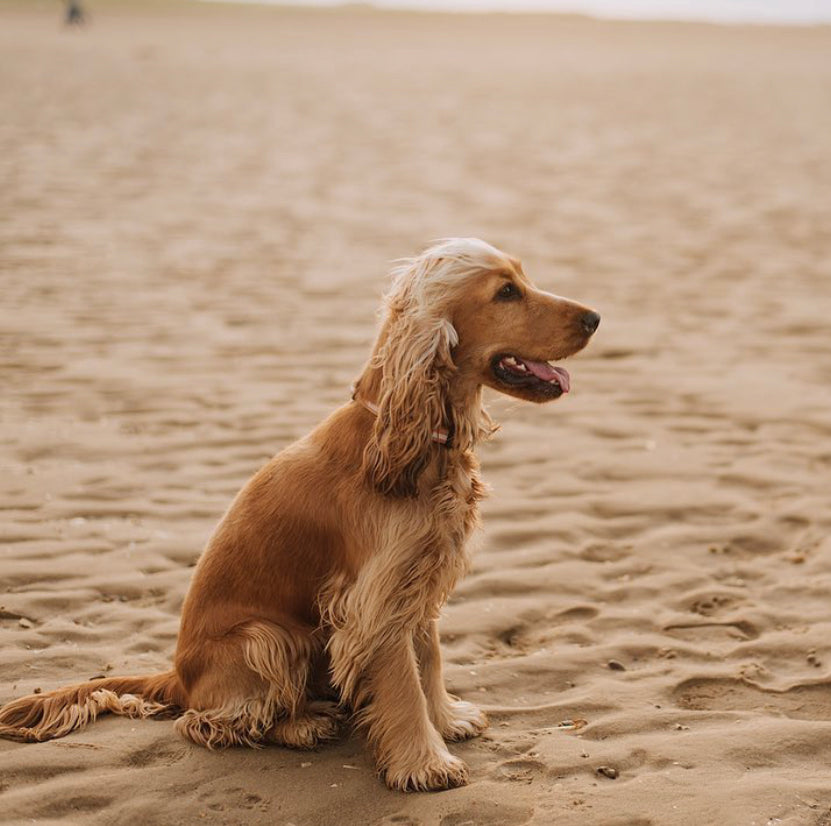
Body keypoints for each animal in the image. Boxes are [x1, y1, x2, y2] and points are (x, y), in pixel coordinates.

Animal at [0, 237, 600, 784]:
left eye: (522, 277)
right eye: (506, 292)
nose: (596, 317)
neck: (408, 440)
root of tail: (177, 677)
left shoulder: (420, 578)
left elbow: (428, 660)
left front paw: (448, 720)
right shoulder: (373, 602)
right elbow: (404, 682)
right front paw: (425, 764)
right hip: (264, 637)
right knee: (210, 722)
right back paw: (302, 724)